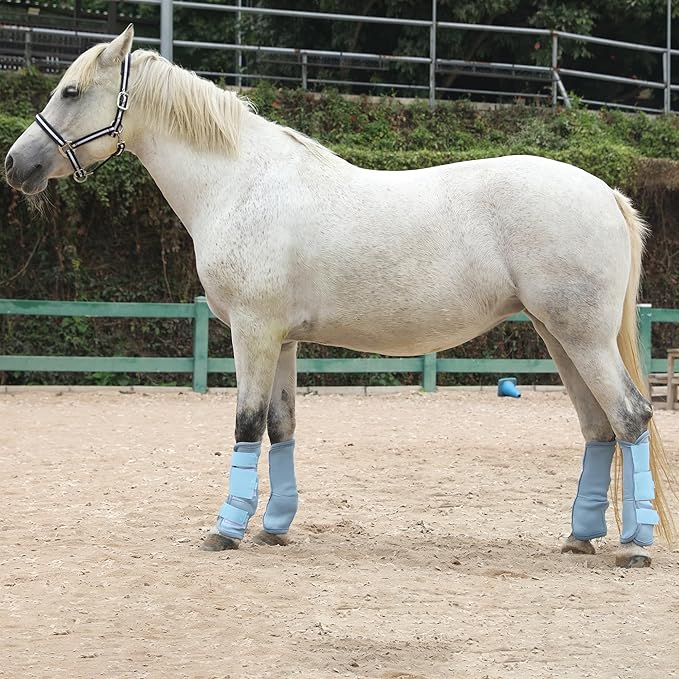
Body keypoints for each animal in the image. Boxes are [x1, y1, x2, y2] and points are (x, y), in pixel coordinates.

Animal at [5, 26, 675, 568]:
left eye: (70, 92)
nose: (16, 164)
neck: (239, 183)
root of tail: (607, 193)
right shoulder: (280, 340)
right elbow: (281, 425)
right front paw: (274, 528)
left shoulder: (251, 331)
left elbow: (246, 423)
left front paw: (226, 531)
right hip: (558, 336)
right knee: (598, 427)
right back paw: (581, 537)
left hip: (581, 338)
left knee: (630, 417)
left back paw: (635, 548)